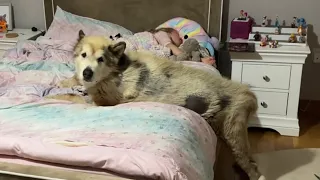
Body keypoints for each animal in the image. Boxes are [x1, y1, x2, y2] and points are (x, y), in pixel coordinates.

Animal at [54, 30, 264, 179]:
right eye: (83, 55)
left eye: (101, 59)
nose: (87, 73)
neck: (115, 71)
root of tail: (246, 92)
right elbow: (73, 81)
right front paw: (63, 81)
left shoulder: (102, 102)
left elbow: (72, 97)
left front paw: (57, 95)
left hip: (233, 132)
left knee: (251, 165)